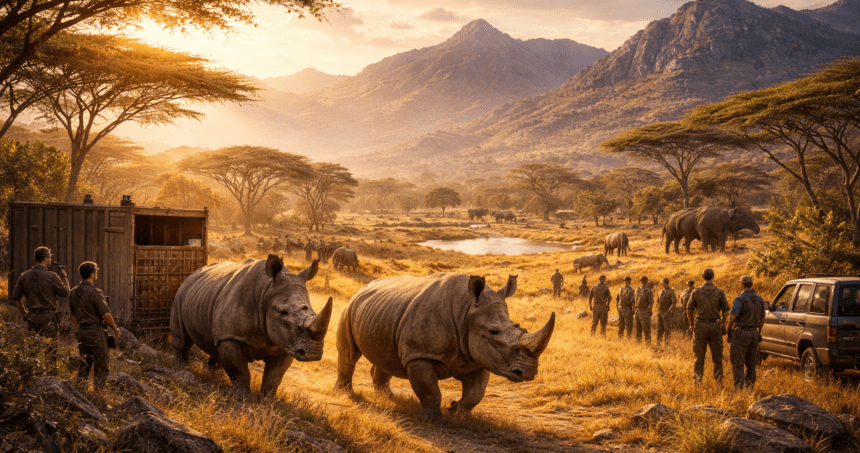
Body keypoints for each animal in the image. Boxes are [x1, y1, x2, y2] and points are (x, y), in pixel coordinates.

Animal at [170, 256, 333, 397]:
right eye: (283, 313)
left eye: (313, 312)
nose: (313, 354)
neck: (266, 291)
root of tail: (194, 273)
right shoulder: (232, 337)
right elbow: (240, 371)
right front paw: (243, 399)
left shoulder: (286, 343)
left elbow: (275, 376)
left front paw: (268, 402)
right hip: (181, 293)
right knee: (183, 340)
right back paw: (182, 369)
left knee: (215, 345)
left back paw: (215, 376)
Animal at [334, 273, 555, 423]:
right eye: (494, 332)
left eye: (519, 327)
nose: (529, 372)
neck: (466, 310)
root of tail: (364, 287)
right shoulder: (421, 354)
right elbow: (430, 390)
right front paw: (432, 421)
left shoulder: (478, 358)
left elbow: (476, 393)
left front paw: (456, 411)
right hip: (351, 306)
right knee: (349, 354)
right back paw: (345, 393)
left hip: (383, 312)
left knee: (387, 356)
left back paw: (388, 397)